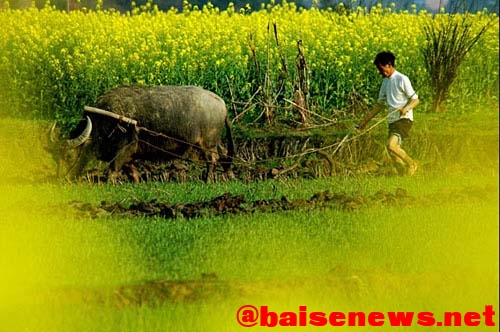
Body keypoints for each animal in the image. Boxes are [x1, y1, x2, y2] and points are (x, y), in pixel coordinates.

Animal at [47, 85, 235, 183]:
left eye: (69, 155)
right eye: (55, 158)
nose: (62, 179)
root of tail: (222, 103)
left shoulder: (125, 148)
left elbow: (112, 169)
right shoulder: (128, 155)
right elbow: (131, 170)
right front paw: (136, 181)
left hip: (207, 144)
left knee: (213, 159)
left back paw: (208, 179)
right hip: (215, 142)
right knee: (224, 154)